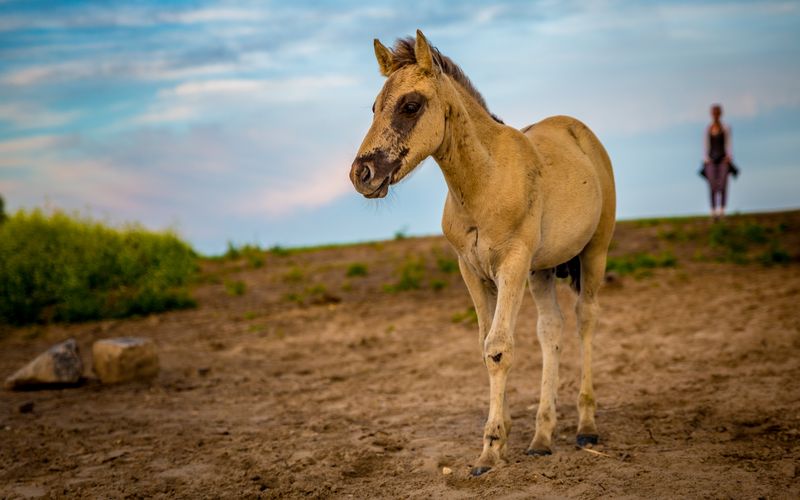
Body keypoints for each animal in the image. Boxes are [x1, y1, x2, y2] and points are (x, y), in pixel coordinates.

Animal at [346, 31, 616, 476]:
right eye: (373, 107)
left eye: (410, 105)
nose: (361, 174)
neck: (485, 181)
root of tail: (582, 133)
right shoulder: (472, 271)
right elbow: (484, 344)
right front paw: (503, 433)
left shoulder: (512, 265)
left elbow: (499, 347)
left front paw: (490, 450)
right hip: (542, 270)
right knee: (551, 330)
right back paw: (542, 437)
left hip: (595, 251)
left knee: (586, 321)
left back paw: (587, 427)